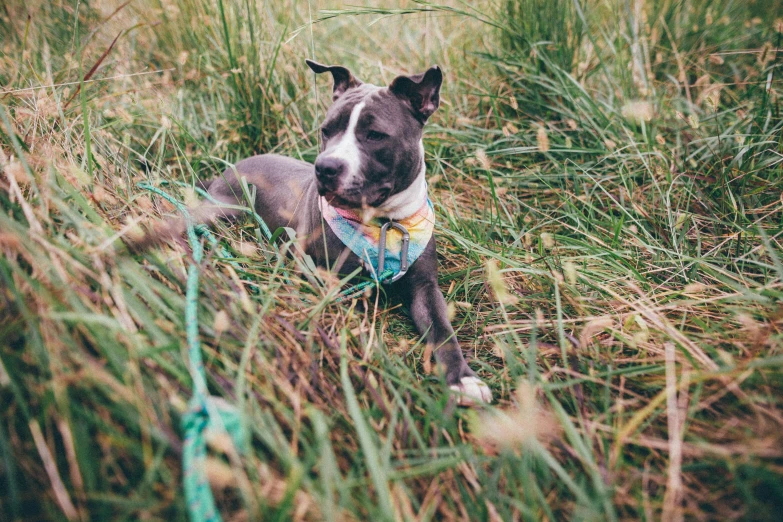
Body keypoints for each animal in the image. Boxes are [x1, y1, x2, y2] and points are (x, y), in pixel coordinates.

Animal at [133, 60, 490, 402]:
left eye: (375, 134)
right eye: (326, 130)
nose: (325, 167)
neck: (382, 224)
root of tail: (229, 169)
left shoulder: (424, 287)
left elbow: (442, 330)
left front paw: (464, 378)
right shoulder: (327, 279)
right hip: (221, 210)